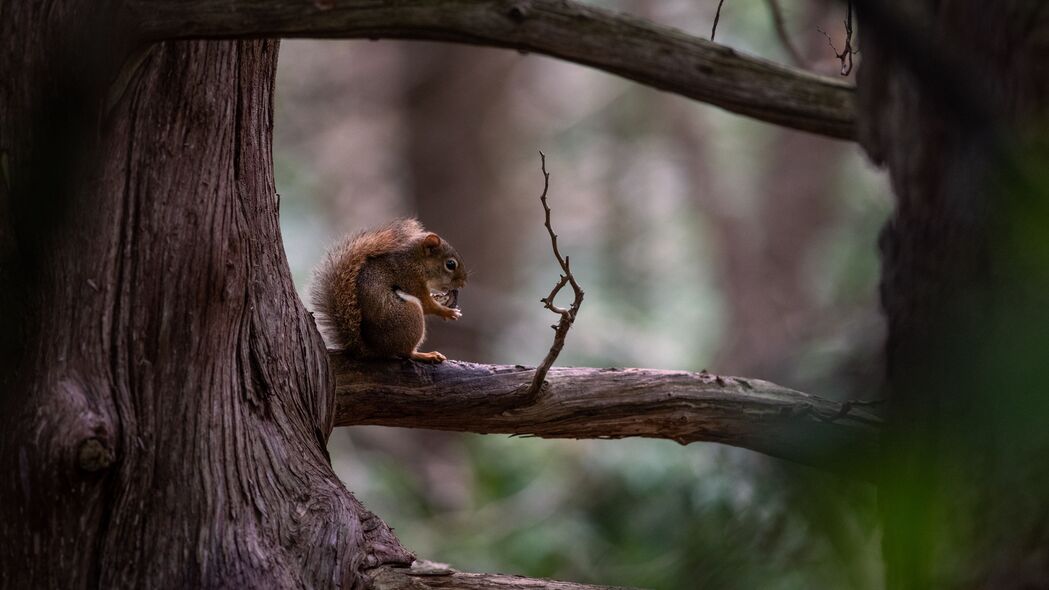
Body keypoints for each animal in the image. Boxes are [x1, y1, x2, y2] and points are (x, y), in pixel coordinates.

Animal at [308, 218, 469, 361]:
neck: (417, 262)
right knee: (405, 353)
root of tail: (373, 350)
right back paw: (425, 355)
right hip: (409, 314)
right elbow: (426, 304)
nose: (463, 283)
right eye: (450, 264)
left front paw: (439, 298)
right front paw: (447, 312)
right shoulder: (410, 279)